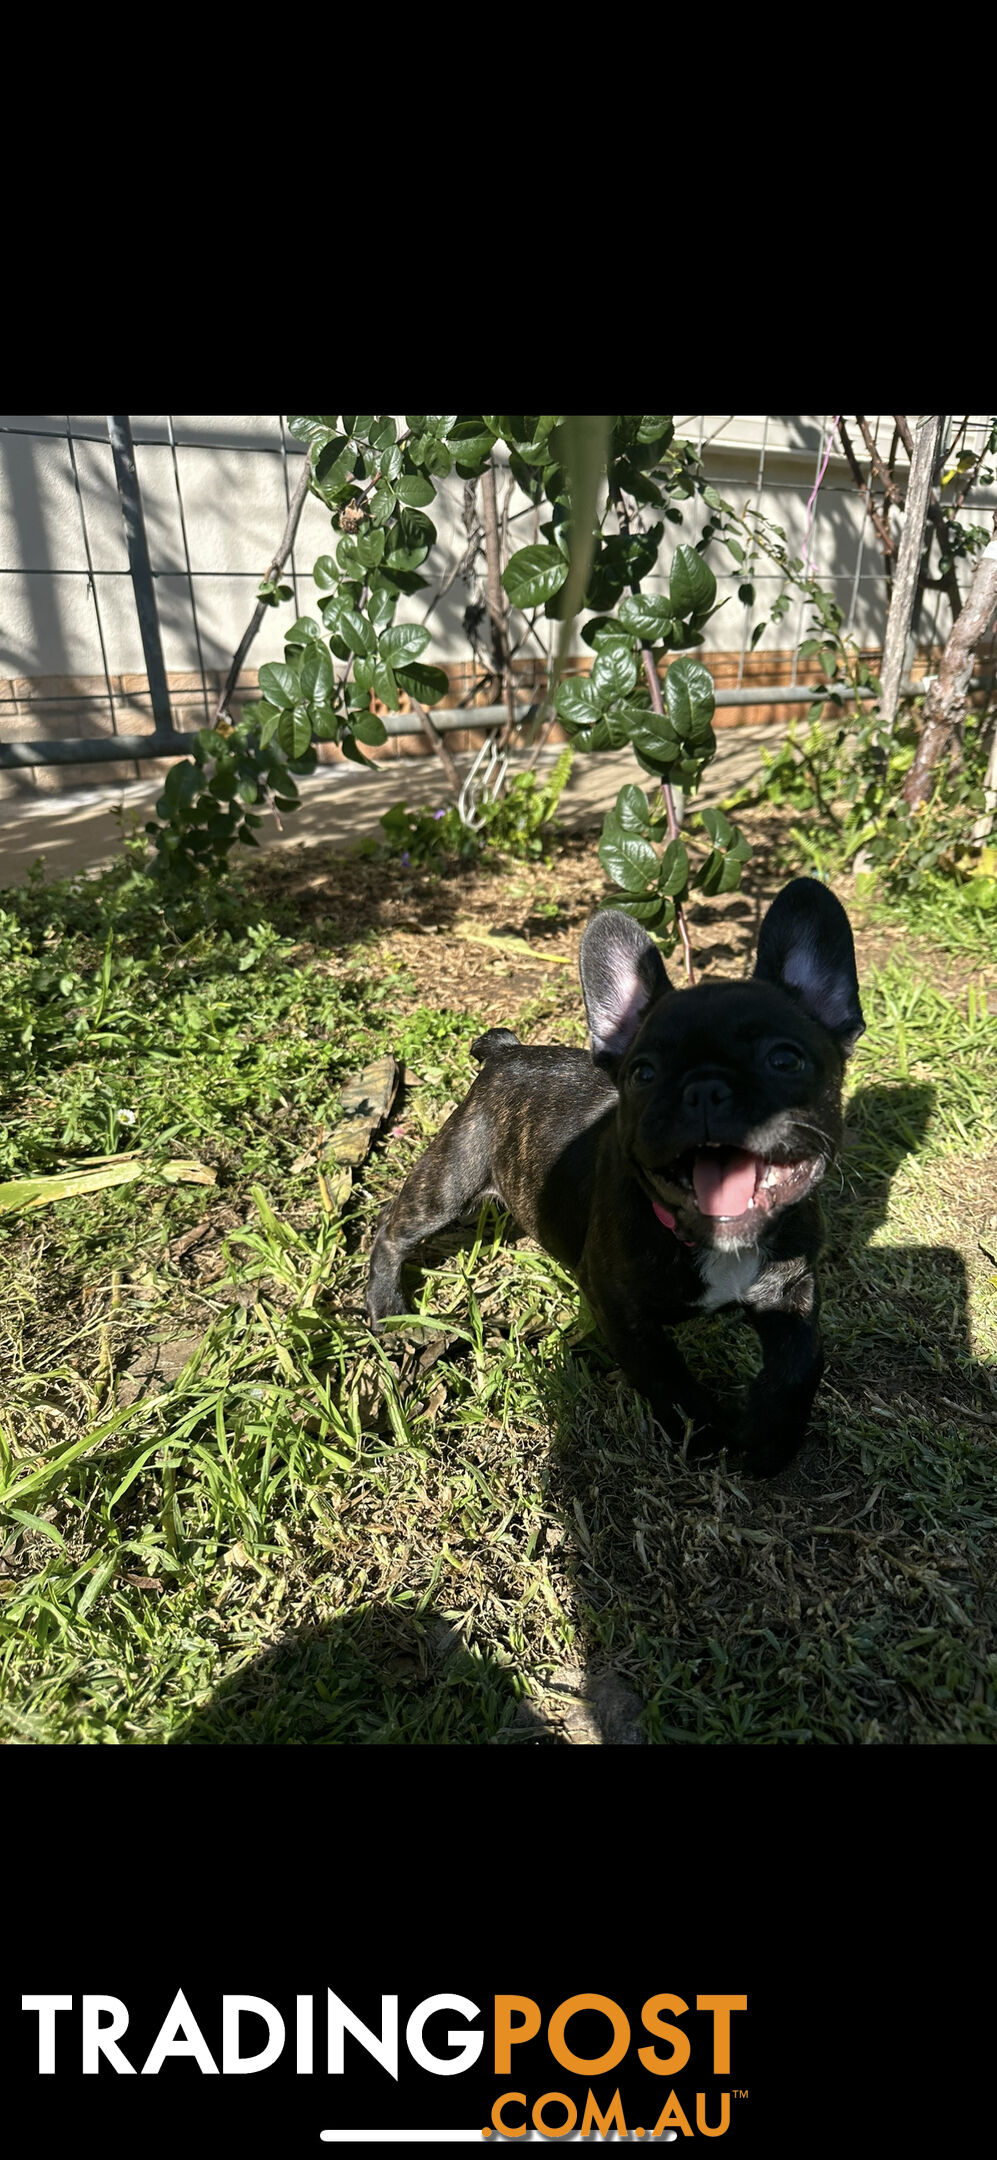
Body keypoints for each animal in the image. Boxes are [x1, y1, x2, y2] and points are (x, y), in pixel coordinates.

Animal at [369, 872, 863, 1468]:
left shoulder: (794, 1289)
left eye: (785, 1060)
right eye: (643, 1073)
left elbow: (801, 1364)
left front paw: (771, 1441)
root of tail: (505, 1052)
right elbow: (670, 1381)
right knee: (393, 1230)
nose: (704, 1088)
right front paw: (708, 1437)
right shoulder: (621, 1311)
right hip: (451, 1178)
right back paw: (386, 1311)